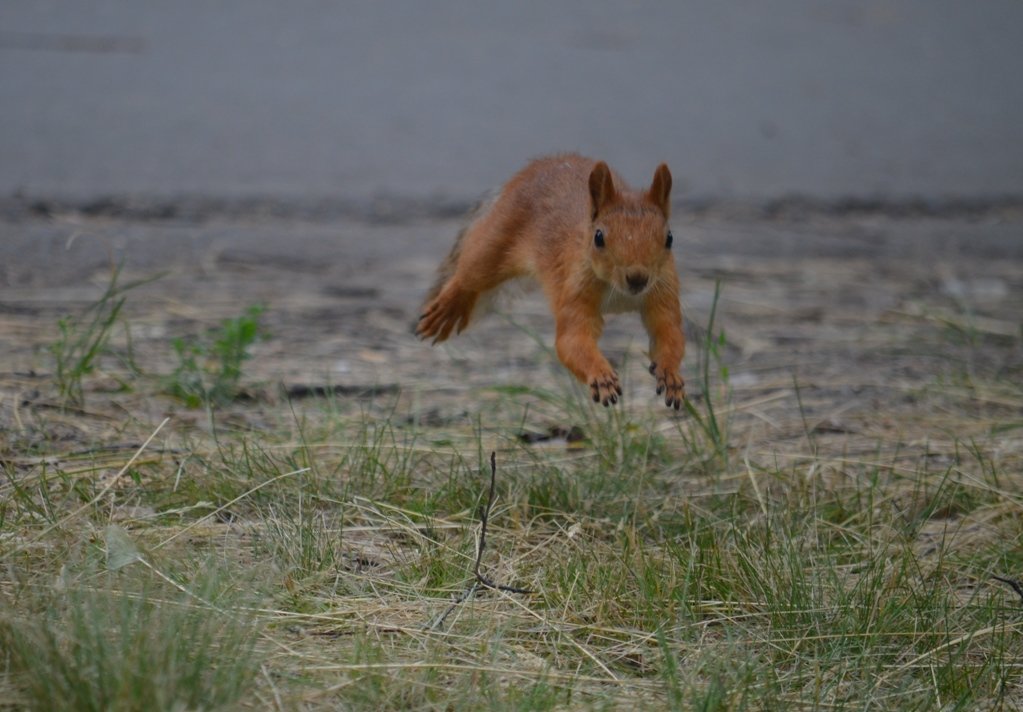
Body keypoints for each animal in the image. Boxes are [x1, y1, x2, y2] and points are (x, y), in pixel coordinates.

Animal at [415, 154, 687, 411]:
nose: (637, 278)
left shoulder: (662, 290)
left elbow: (668, 332)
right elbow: (572, 340)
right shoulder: (575, 288)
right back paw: (447, 310)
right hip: (495, 241)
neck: (619, 292)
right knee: (468, 275)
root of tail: (540, 165)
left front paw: (670, 374)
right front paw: (602, 377)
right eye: (599, 237)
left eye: (670, 238)